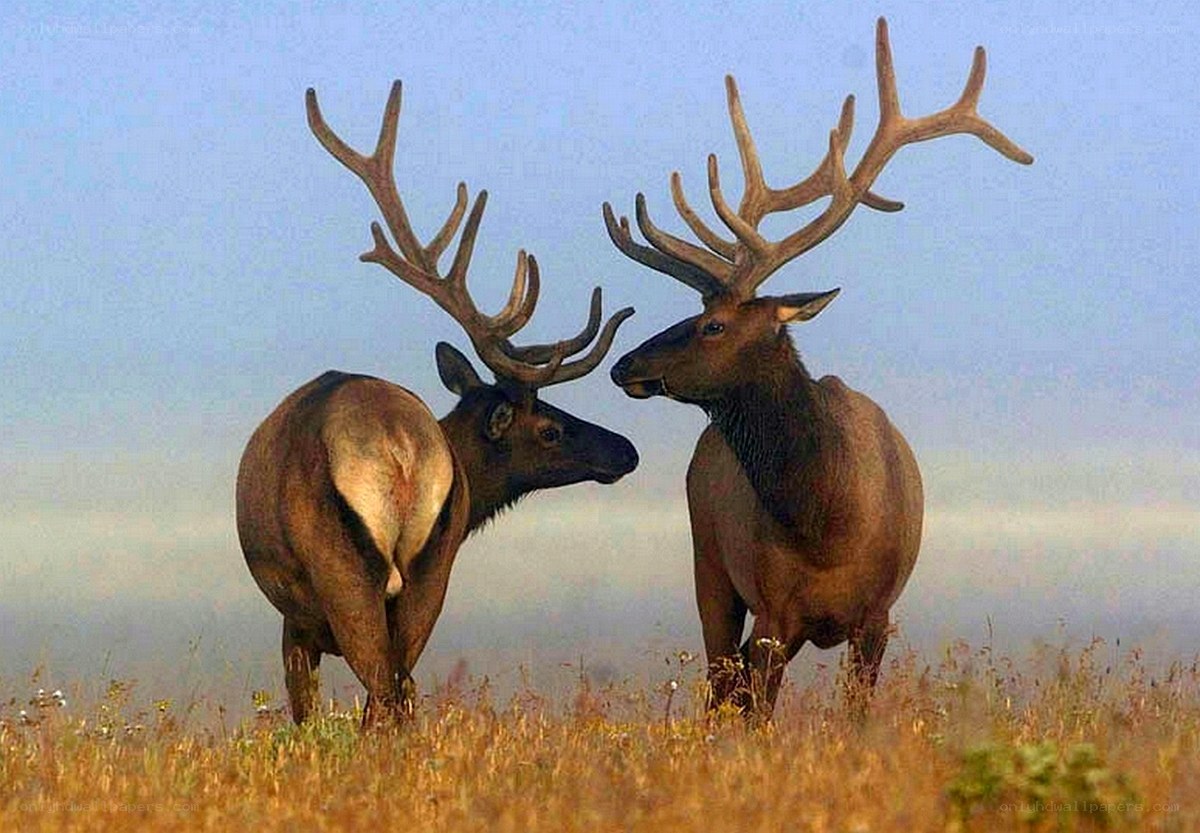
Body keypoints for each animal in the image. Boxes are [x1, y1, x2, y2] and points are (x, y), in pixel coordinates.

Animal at [236, 81, 638, 727]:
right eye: (550, 427)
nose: (625, 450)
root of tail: (399, 447)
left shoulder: (295, 620)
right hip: (430, 570)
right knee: (397, 691)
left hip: (345, 571)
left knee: (383, 691)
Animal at [605, 18, 1032, 720]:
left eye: (713, 324)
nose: (625, 365)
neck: (828, 525)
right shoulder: (774, 611)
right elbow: (757, 715)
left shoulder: (877, 615)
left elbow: (853, 715)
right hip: (708, 564)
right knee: (718, 682)